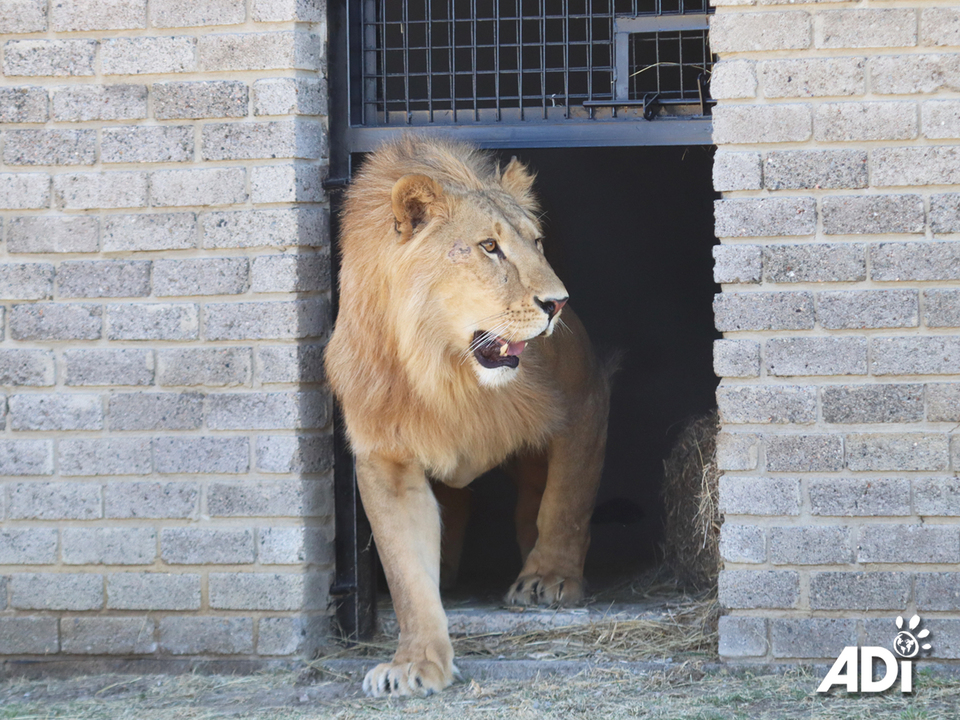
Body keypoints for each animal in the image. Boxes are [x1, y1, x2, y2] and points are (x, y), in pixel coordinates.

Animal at [322, 135, 608, 696]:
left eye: (537, 243)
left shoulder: (585, 398)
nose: (559, 304)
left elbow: (564, 503)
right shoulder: (385, 459)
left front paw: (550, 578)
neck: (445, 368)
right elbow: (405, 570)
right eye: (489, 247)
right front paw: (415, 663)